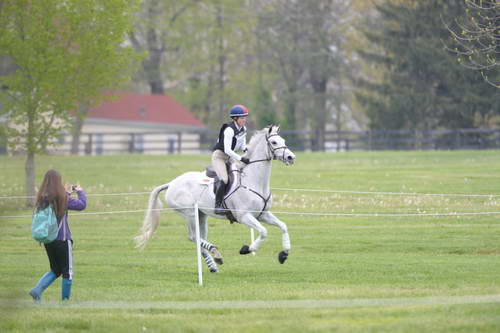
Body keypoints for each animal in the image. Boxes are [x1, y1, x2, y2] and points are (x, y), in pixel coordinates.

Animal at [135, 124, 294, 270]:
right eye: (274, 142)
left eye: (283, 140)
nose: (291, 157)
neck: (253, 180)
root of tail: (172, 183)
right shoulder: (244, 216)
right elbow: (263, 231)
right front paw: (247, 249)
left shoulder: (263, 214)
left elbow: (283, 226)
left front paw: (284, 253)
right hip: (190, 213)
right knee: (193, 236)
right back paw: (215, 252)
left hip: (201, 215)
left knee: (199, 237)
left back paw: (213, 264)